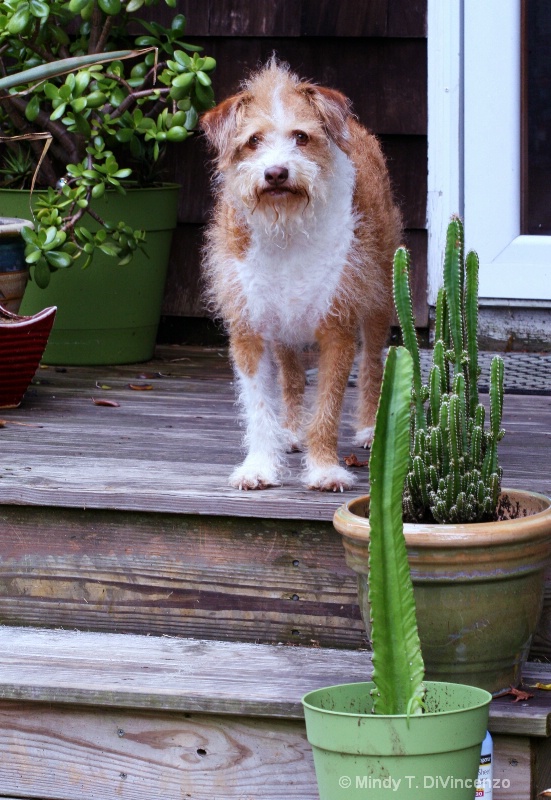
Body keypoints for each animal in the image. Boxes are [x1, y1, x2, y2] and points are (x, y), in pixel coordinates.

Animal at [202, 59, 402, 490]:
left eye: (301, 136)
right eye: (254, 141)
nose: (276, 173)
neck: (287, 229)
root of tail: (351, 122)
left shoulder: (338, 326)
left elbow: (327, 405)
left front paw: (325, 469)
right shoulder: (250, 327)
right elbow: (260, 405)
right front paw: (260, 466)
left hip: (380, 295)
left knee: (373, 362)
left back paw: (367, 429)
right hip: (283, 324)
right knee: (292, 377)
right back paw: (290, 432)